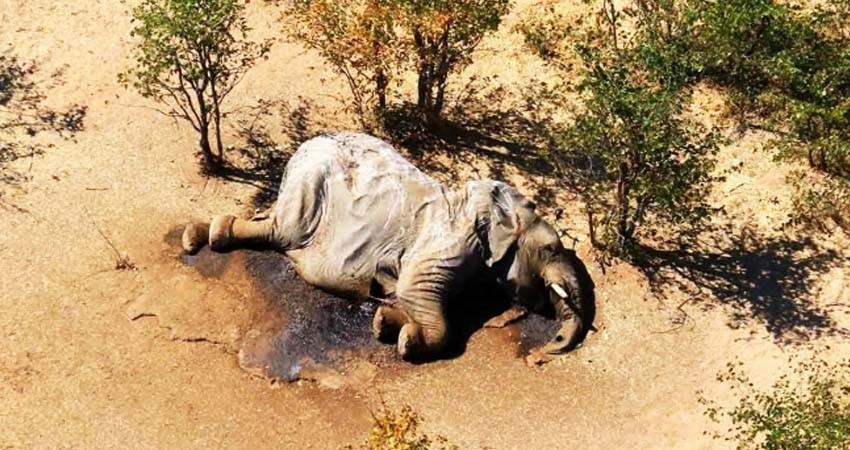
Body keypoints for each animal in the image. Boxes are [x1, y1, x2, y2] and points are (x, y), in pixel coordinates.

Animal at [182, 132, 595, 363]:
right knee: (281, 231)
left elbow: (413, 298)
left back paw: (198, 234)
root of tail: (304, 145)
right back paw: (208, 236)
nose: (546, 351)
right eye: (551, 248)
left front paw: (385, 322)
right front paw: (408, 341)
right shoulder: (448, 243)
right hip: (309, 185)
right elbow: (416, 291)